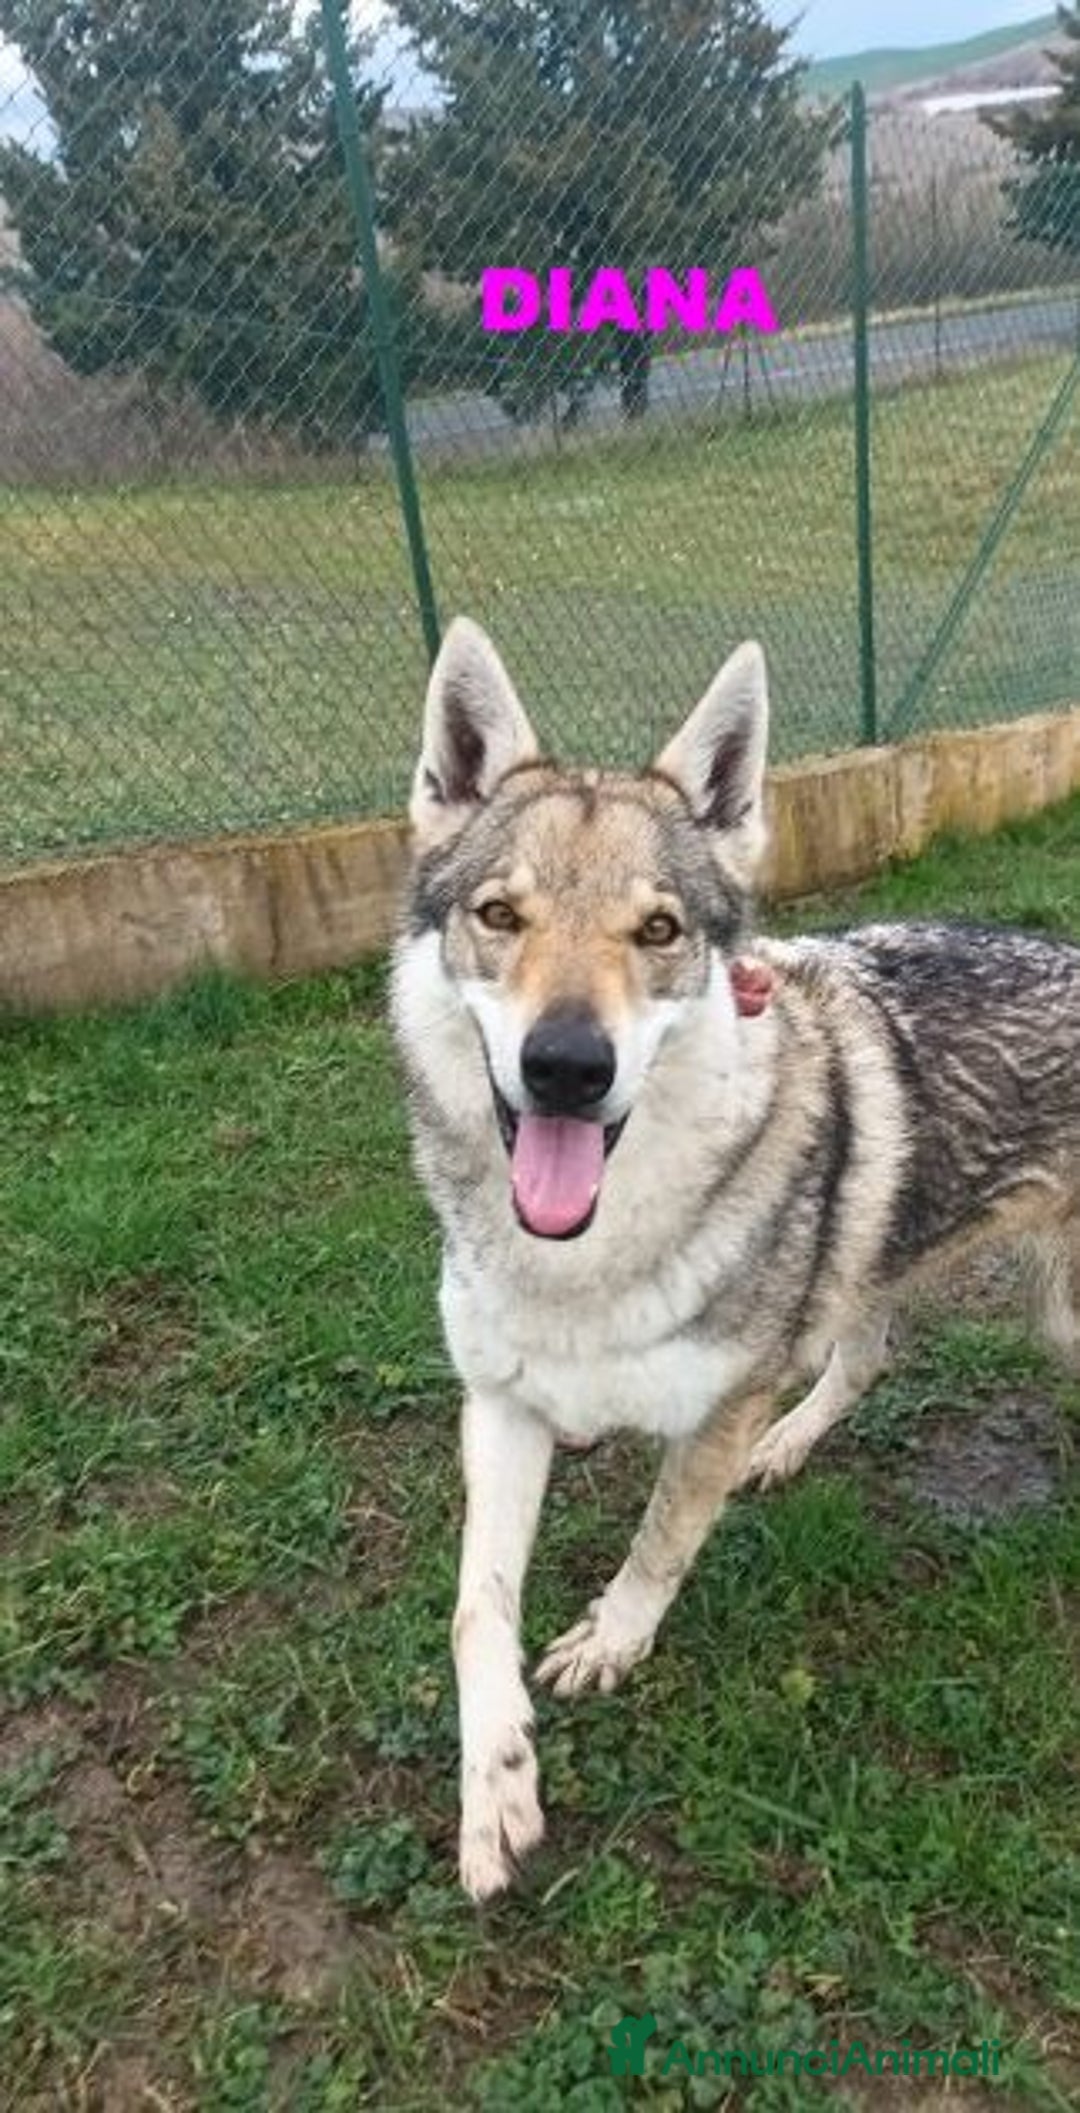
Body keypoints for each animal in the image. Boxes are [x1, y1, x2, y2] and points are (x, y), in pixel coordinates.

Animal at [391, 616, 1080, 1900]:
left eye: (658, 930)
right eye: (500, 917)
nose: (568, 1066)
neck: (587, 1263)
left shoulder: (712, 1407)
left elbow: (663, 1536)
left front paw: (612, 1640)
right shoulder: (500, 1404)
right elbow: (475, 1609)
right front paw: (495, 1786)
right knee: (865, 1355)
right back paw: (788, 1446)